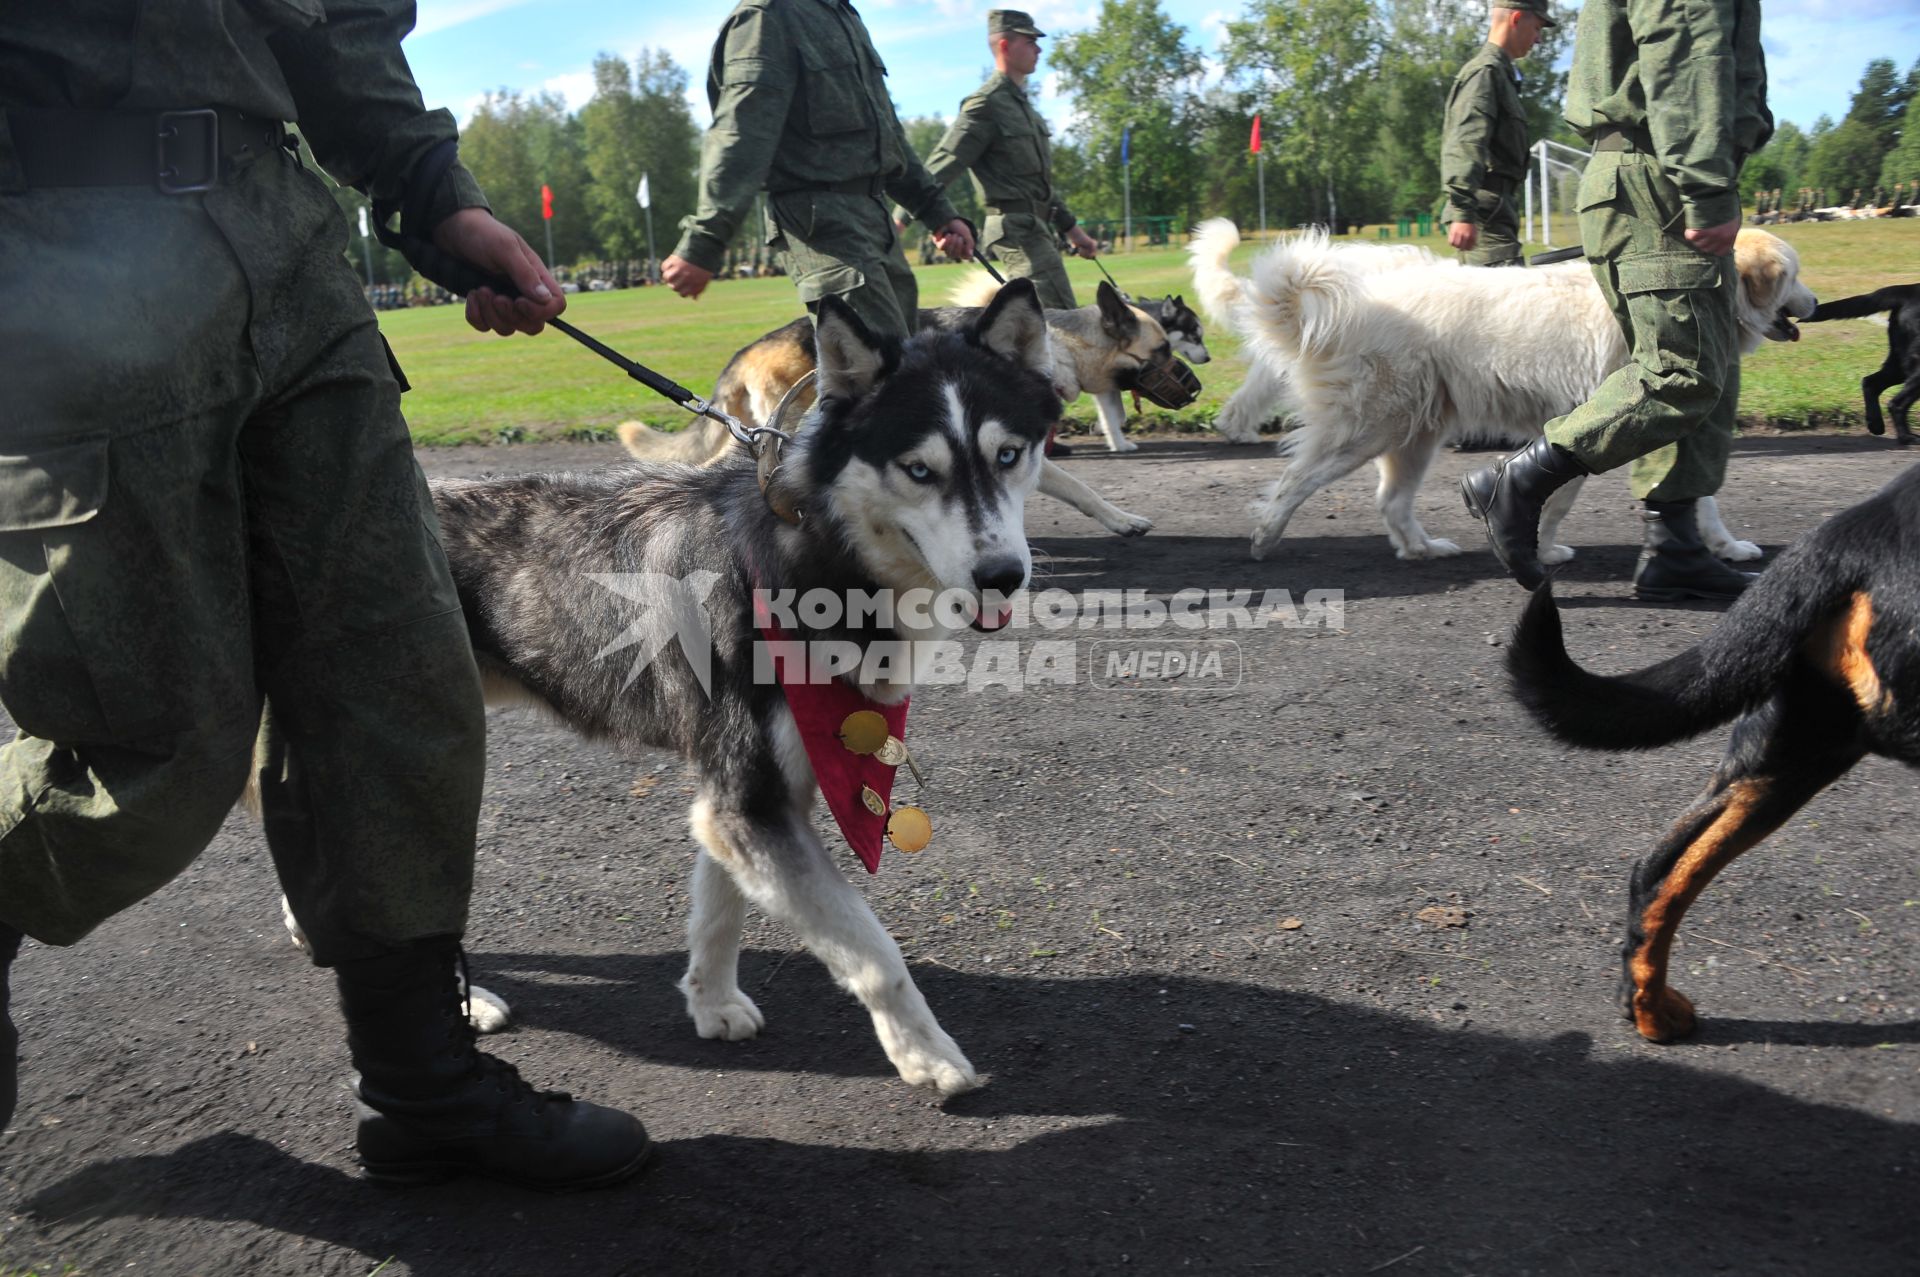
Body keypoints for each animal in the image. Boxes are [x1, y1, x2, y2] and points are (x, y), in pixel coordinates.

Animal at [416, 284, 1067, 1090]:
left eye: (1008, 455)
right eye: (918, 470)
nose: (1003, 575)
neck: (814, 560)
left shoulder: (751, 796)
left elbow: (718, 910)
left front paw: (712, 1001)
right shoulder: (751, 800)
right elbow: (873, 952)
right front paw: (927, 1054)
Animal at [614, 282, 1190, 533]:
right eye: (1163, 350)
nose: (1195, 391)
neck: (1066, 344)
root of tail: (745, 351)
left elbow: (1077, 489)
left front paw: (1119, 518)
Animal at [1190, 221, 1820, 560]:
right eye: (1792, 275)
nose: (1815, 305)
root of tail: (1359, 296)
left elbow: (1703, 499)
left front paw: (1727, 549)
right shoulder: (1588, 422)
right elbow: (1556, 495)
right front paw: (1540, 548)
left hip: (1416, 434)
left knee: (1390, 501)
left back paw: (1422, 548)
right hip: (1367, 427)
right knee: (1296, 479)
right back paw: (1265, 536)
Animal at [1804, 286, 1912, 445]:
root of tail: (1905, 291)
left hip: (1900, 365)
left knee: (1871, 383)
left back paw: (1876, 425)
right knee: (1896, 402)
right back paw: (1906, 437)